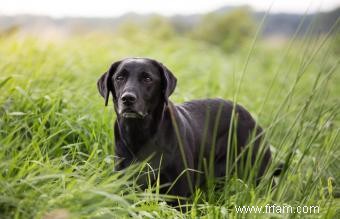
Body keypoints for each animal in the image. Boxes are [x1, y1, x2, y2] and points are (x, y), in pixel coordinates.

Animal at [97, 57, 274, 198]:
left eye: (147, 78)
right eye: (119, 77)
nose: (127, 98)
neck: (140, 134)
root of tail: (247, 114)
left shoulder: (180, 192)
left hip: (259, 174)